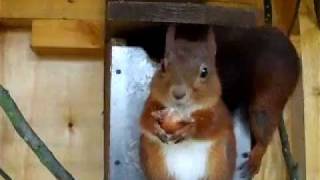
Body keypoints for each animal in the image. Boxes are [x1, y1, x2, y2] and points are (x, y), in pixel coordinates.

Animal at [139, 25, 235, 180]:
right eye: (163, 65)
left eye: (204, 72)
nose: (178, 93)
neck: (181, 111)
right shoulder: (151, 102)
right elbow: (144, 120)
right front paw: (156, 128)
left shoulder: (218, 112)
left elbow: (211, 126)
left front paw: (189, 130)